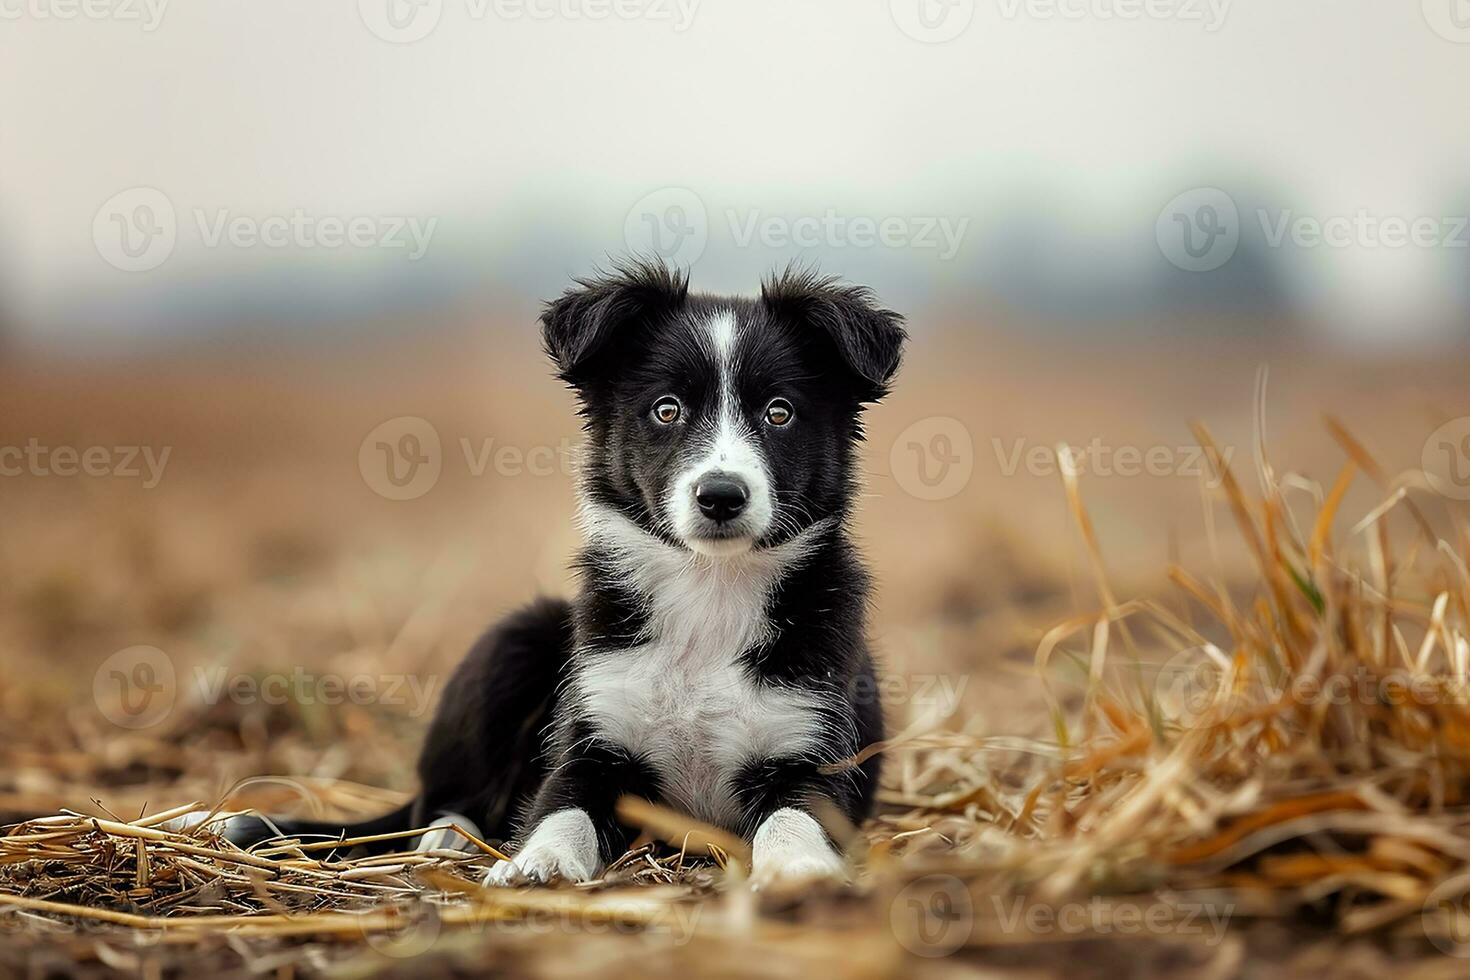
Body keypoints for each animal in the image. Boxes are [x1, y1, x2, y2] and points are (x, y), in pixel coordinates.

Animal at [219, 262, 905, 887]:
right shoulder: (592, 741)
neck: (708, 590)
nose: (721, 495)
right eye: (667, 410)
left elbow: (795, 818)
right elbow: (561, 809)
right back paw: (447, 839)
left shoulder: (811, 754)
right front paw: (539, 862)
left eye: (780, 413)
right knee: (437, 802)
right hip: (514, 641)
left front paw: (799, 870)